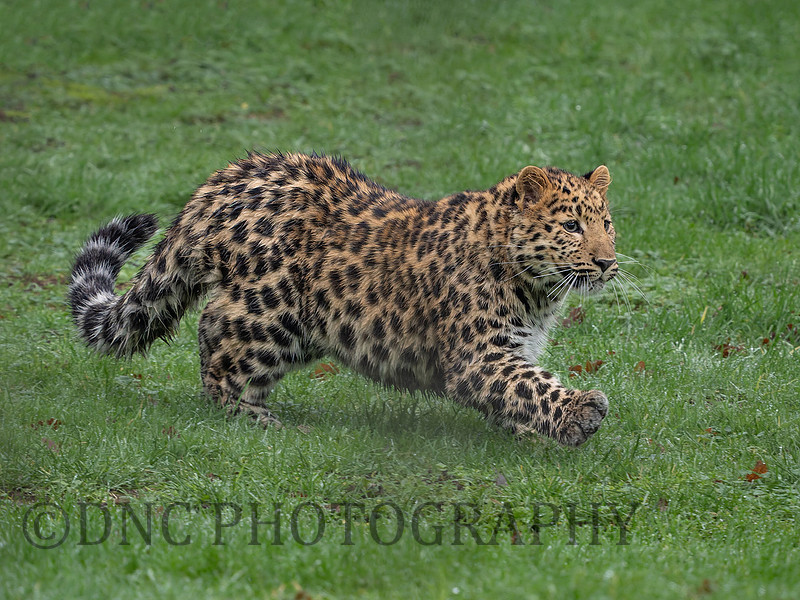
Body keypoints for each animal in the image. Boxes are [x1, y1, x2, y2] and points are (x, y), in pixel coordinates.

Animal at [68, 151, 618, 446]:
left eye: (607, 224)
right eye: (572, 226)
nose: (608, 262)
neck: (537, 290)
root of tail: (228, 179)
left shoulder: (513, 346)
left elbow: (519, 389)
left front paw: (529, 432)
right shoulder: (478, 355)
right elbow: (529, 385)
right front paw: (581, 411)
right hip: (269, 313)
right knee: (215, 339)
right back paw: (254, 418)